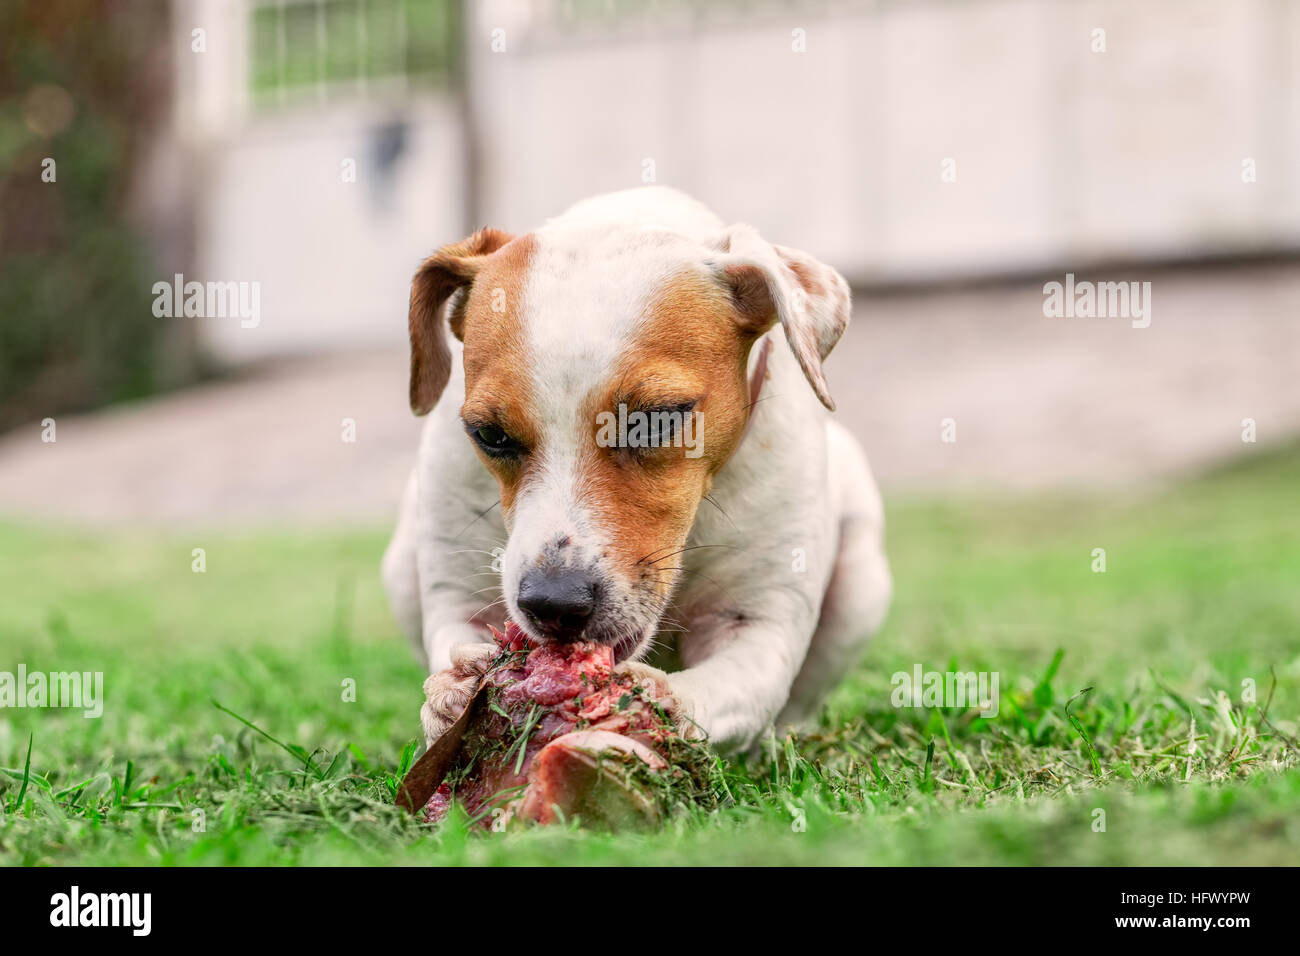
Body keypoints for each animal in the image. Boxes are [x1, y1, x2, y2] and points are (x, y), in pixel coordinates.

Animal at [379, 187, 889, 754]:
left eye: (657, 419)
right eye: (489, 434)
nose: (554, 603)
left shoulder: (759, 623)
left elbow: (726, 687)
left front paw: (656, 702)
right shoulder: (459, 596)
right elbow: (455, 638)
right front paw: (450, 696)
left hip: (860, 584)